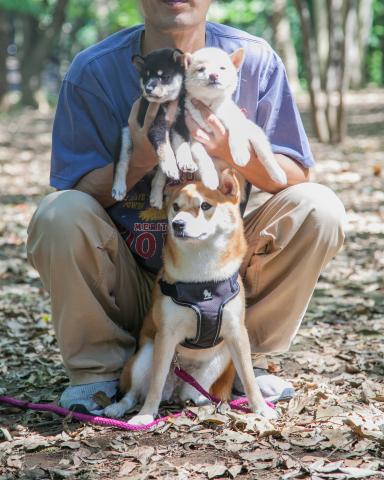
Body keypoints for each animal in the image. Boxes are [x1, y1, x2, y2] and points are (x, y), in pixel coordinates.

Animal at [105, 169, 278, 424]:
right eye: (175, 207)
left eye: (205, 205)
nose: (177, 224)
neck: (202, 278)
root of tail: (176, 389)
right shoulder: (166, 337)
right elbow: (155, 383)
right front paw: (146, 415)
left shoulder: (237, 334)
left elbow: (248, 377)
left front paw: (260, 407)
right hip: (144, 356)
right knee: (133, 393)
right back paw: (119, 409)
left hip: (222, 357)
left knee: (198, 394)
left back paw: (212, 405)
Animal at [112, 47, 195, 205]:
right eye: (146, 77)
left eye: (165, 77)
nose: (148, 89)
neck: (166, 103)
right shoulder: (156, 125)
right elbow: (164, 148)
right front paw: (171, 164)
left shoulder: (180, 123)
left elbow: (183, 144)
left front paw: (186, 161)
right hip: (126, 135)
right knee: (121, 164)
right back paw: (118, 188)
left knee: (158, 178)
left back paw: (156, 197)